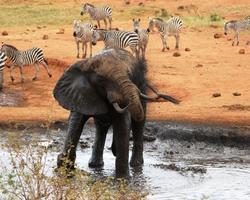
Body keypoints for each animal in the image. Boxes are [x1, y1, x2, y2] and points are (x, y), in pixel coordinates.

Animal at [52, 48, 179, 177]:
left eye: (129, 74)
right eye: (101, 80)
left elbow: (123, 125)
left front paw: (123, 179)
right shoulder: (79, 94)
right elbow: (76, 122)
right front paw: (64, 167)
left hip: (142, 85)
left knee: (138, 124)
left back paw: (136, 165)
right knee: (101, 126)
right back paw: (95, 165)